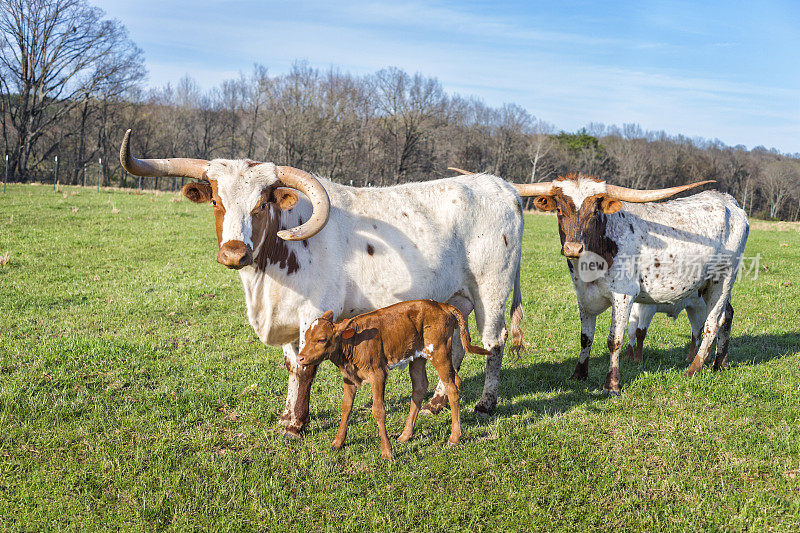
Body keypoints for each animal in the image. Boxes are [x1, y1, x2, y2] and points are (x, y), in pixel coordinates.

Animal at [298, 300, 490, 458]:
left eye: (321, 339)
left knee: (452, 387)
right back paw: (406, 435)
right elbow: (346, 407)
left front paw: (386, 451)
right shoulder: (349, 378)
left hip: (439, 351)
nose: (300, 358)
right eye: (305, 337)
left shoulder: (378, 374)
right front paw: (338, 442)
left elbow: (378, 410)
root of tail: (441, 305)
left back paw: (454, 438)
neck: (352, 345)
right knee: (421, 387)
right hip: (418, 356)